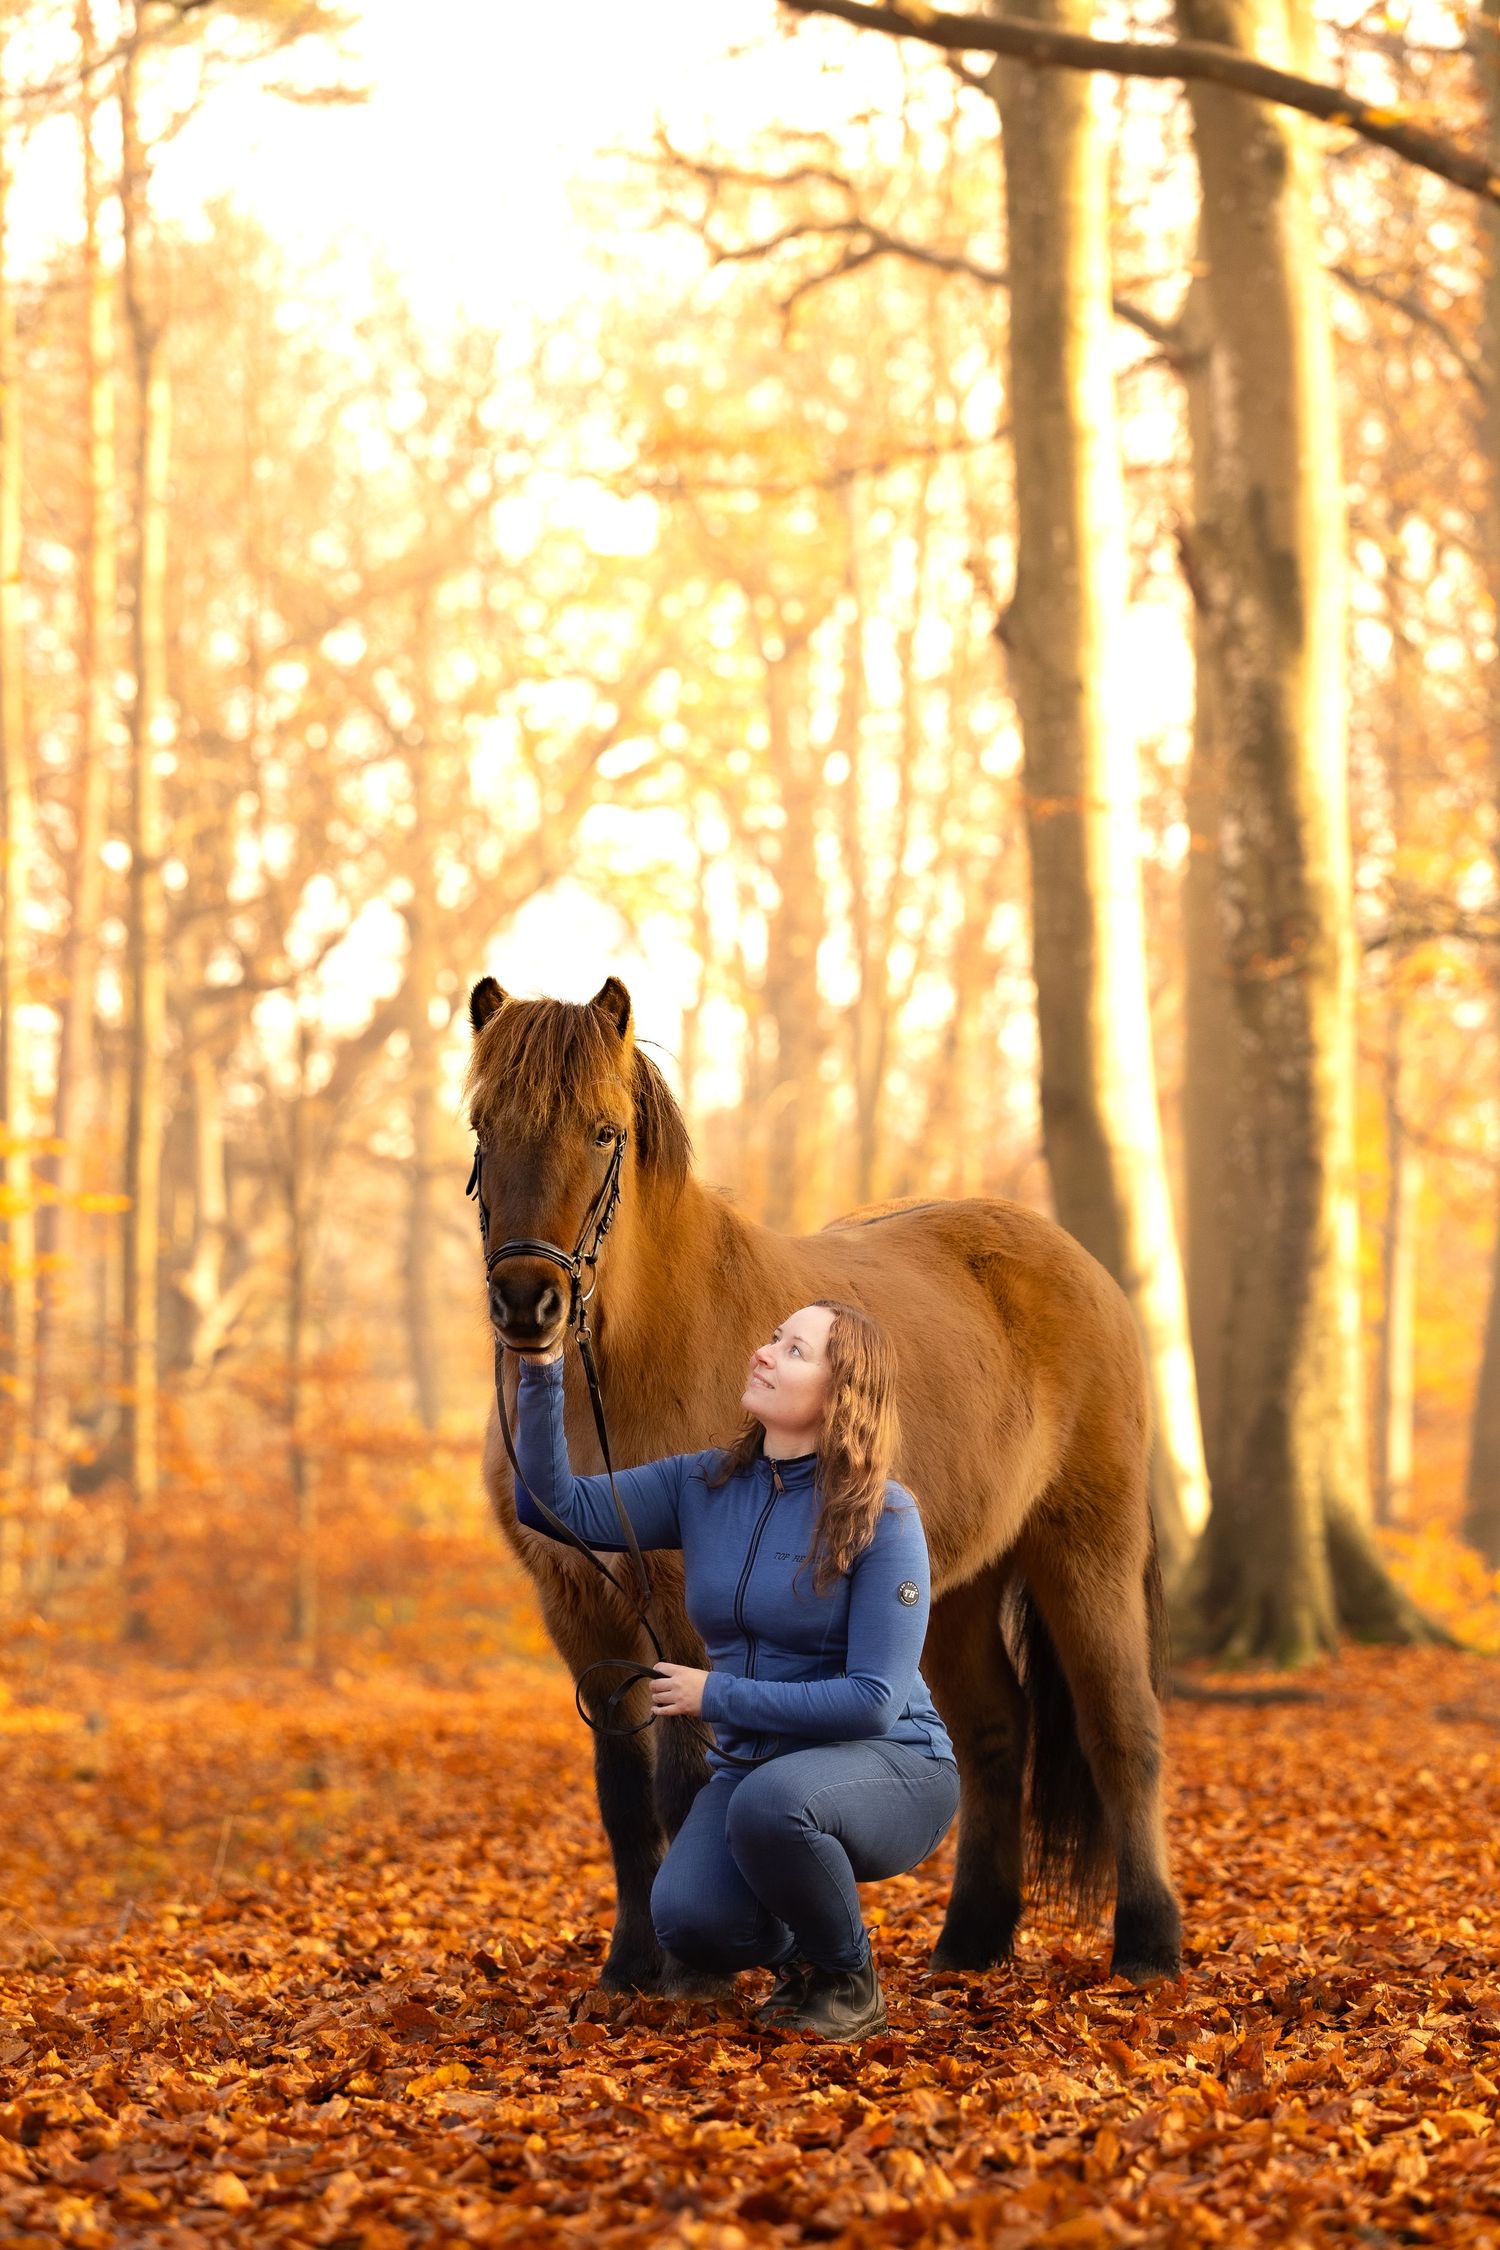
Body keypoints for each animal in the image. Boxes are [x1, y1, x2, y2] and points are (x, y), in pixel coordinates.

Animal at [465, 974, 1181, 1994]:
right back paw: (970, 1942)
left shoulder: (683, 1614)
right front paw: (631, 1969)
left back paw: (1148, 1945)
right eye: (483, 1125)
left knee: (1123, 1733)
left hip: (1086, 1552)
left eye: (603, 1131)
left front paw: (695, 1977)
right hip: (950, 1589)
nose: (529, 1303)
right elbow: (625, 1800)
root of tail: (1077, 1264)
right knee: (994, 1735)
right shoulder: (581, 1613)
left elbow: (688, 1788)